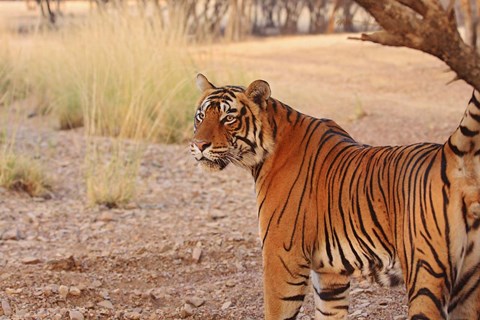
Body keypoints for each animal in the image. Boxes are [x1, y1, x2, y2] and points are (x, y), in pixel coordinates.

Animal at [189, 73, 480, 320]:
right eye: (200, 116)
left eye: (228, 118)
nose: (198, 145)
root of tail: (448, 153)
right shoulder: (331, 274)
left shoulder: (282, 257)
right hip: (468, 285)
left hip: (426, 275)